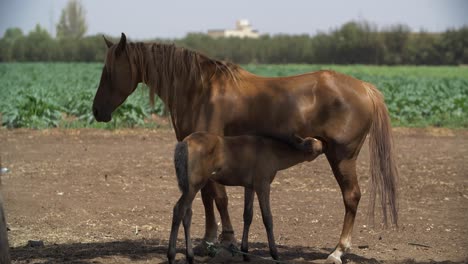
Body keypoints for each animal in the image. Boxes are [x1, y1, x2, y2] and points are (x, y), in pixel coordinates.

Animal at [92, 33, 398, 264]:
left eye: (108, 72)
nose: (96, 111)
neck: (201, 90)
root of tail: (365, 87)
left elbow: (219, 197)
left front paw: (224, 241)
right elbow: (208, 198)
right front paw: (210, 241)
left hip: (342, 157)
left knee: (351, 197)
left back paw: (337, 252)